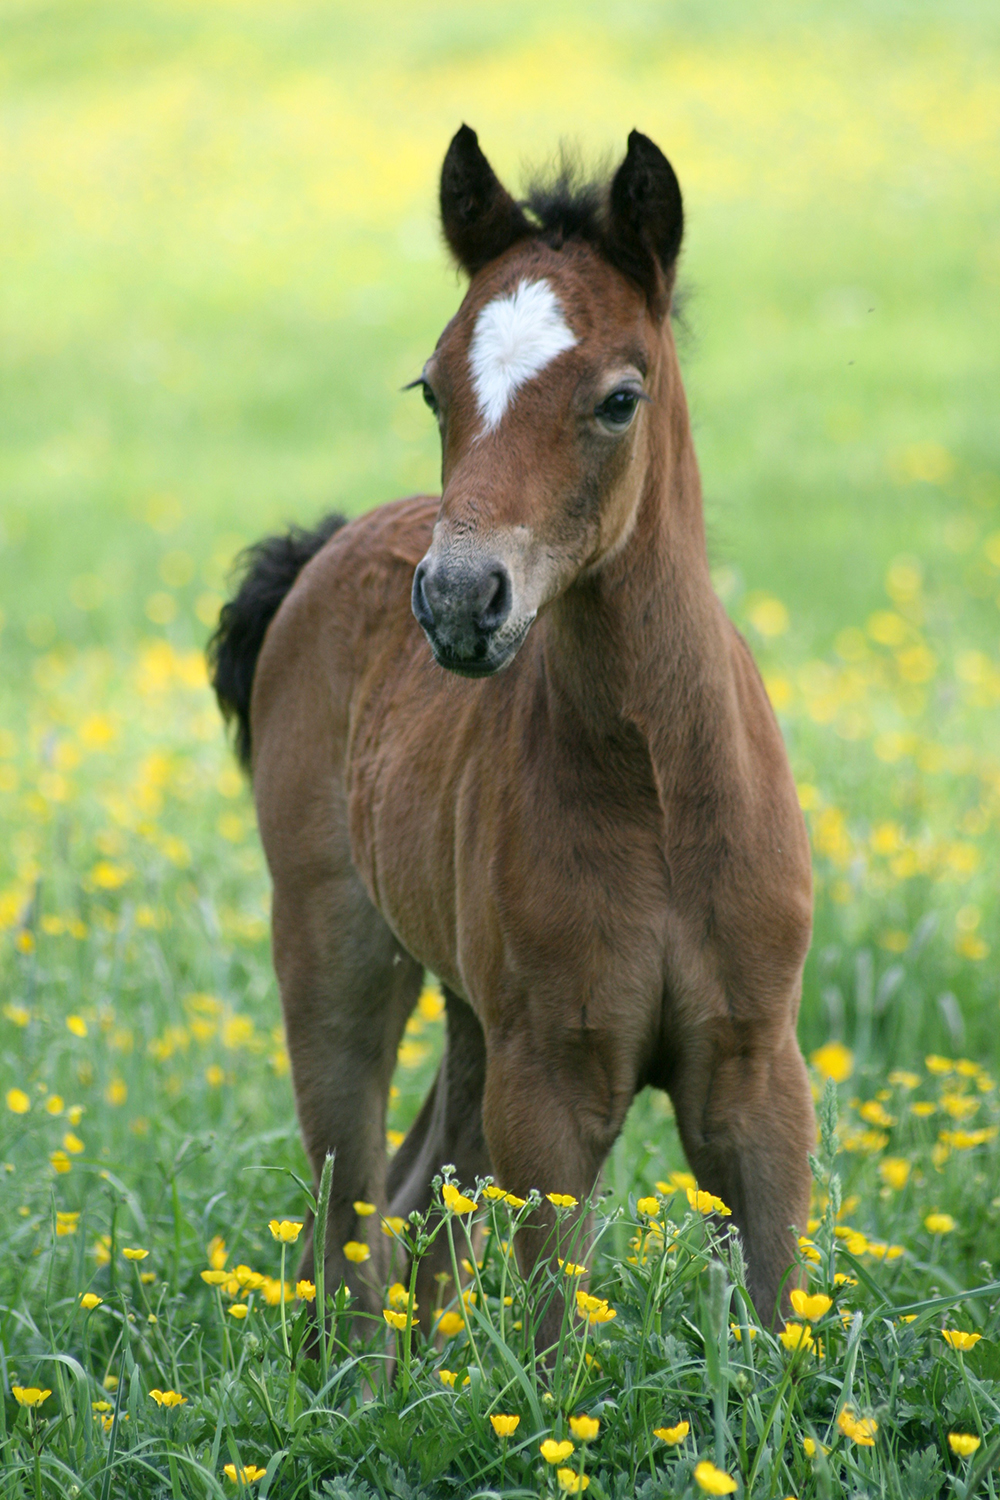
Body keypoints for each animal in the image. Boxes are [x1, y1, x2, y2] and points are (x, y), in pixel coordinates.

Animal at [215, 123, 815, 1332]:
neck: (658, 788)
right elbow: (551, 1336)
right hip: (339, 955)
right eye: (433, 390)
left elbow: (782, 1328)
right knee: (355, 1222)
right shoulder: (552, 1085)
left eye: (619, 399)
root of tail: (326, 545)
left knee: (414, 1204)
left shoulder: (757, 1077)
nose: (456, 599)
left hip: (470, 1014)